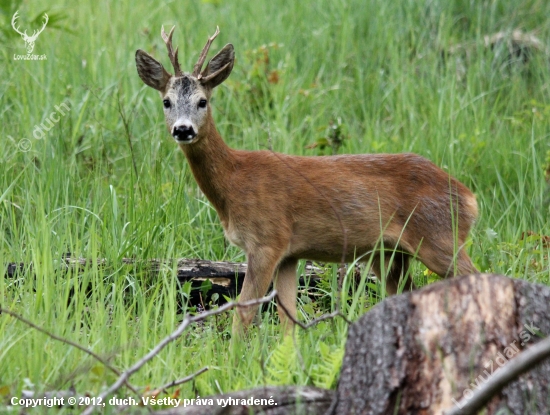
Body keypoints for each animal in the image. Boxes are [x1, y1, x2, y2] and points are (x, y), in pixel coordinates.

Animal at [137, 26, 478, 336]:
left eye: (202, 101)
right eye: (166, 101)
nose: (183, 129)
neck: (234, 182)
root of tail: (469, 197)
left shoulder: (266, 241)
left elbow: (243, 316)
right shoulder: (289, 254)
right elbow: (289, 322)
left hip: (440, 238)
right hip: (389, 254)